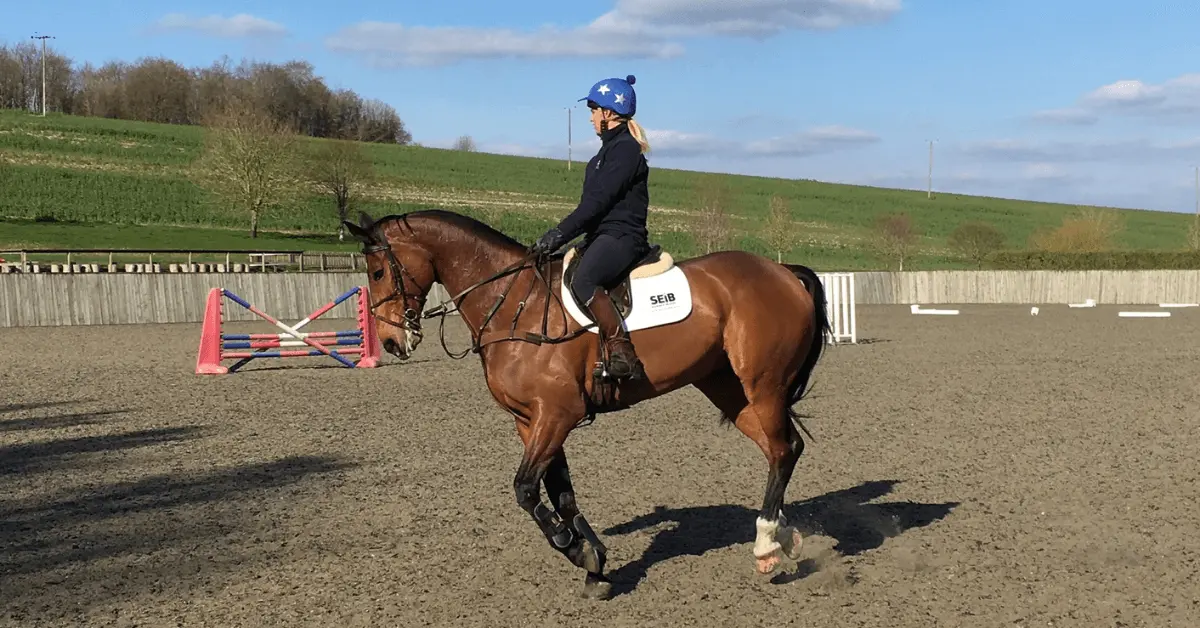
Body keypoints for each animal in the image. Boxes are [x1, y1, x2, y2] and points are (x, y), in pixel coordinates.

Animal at [338, 210, 825, 600]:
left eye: (377, 272)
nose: (390, 342)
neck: (514, 302)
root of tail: (782, 271)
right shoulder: (531, 420)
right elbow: (561, 492)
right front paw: (595, 563)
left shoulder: (557, 415)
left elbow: (526, 489)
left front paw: (574, 550)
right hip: (727, 388)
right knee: (785, 449)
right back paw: (785, 537)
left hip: (762, 384)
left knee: (782, 449)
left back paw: (766, 544)